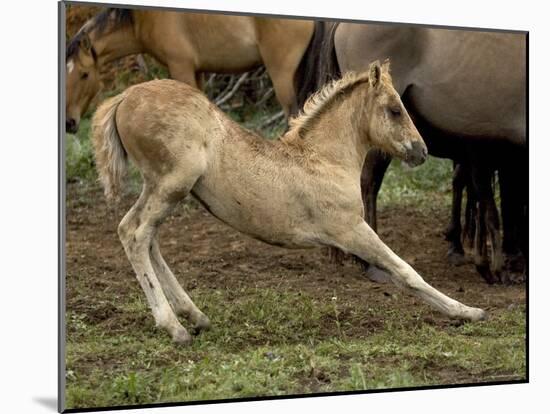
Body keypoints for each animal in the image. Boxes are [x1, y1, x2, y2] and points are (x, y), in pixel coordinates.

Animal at [64, 7, 312, 132]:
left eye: (84, 74)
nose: (69, 123)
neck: (143, 17)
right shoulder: (198, 71)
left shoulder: (180, 67)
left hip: (282, 77)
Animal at [92, 61, 490, 344]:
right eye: (394, 109)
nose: (421, 151)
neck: (324, 159)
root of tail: (124, 98)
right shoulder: (350, 229)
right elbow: (405, 271)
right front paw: (468, 311)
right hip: (171, 184)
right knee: (135, 234)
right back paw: (174, 327)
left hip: (161, 188)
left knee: (144, 236)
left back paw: (196, 315)